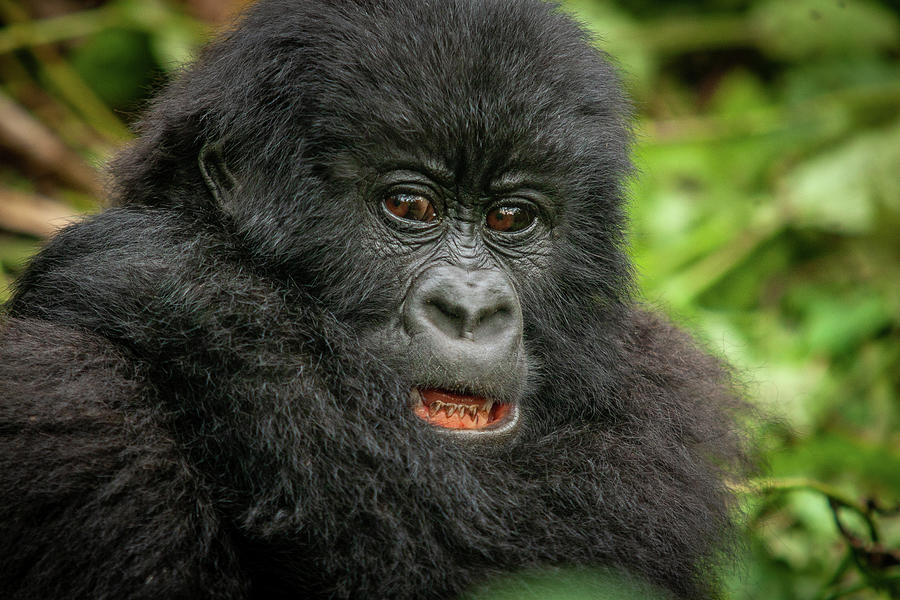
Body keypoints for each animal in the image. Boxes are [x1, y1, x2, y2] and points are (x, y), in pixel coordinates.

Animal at [0, 1, 752, 600]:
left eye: (511, 218)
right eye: (410, 206)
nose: (472, 311)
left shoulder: (665, 399)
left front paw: (163, 279)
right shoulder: (62, 389)